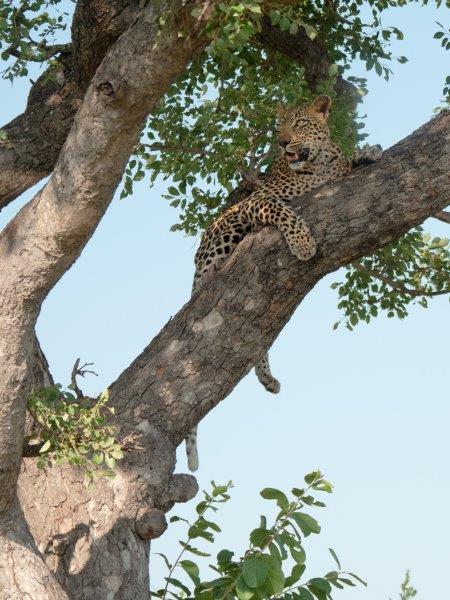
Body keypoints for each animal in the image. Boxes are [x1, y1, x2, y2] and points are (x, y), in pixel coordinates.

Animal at [185, 94, 382, 472]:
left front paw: (369, 151)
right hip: (224, 230)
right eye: (279, 126)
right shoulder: (257, 202)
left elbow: (350, 159)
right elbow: (282, 210)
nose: (281, 142)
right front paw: (303, 243)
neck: (317, 164)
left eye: (300, 123)